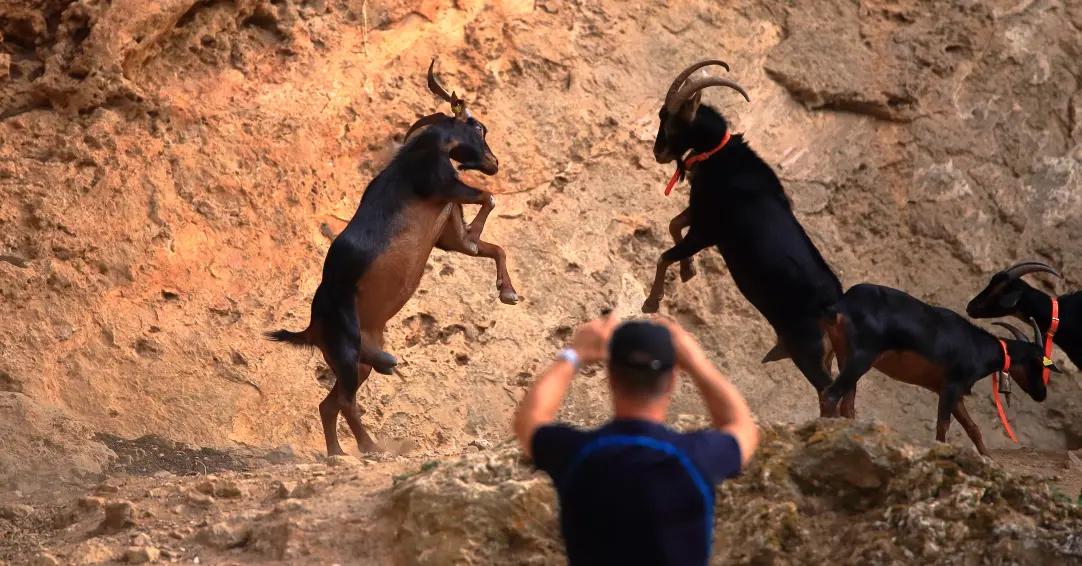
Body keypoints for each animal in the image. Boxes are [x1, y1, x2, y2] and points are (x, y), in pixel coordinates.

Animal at [265, 57, 520, 456]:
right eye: (479, 127)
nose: (494, 163)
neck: (429, 151)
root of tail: (311, 327)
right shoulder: (442, 187)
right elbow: (489, 198)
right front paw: (483, 243)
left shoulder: (448, 231)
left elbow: (487, 245)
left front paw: (507, 291)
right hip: (347, 353)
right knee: (345, 401)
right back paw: (371, 448)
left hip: (354, 358)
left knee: (330, 403)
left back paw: (339, 453)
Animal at [644, 59, 848, 416]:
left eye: (670, 120)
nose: (659, 153)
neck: (719, 156)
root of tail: (834, 308)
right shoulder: (700, 214)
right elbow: (672, 225)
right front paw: (688, 271)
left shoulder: (709, 229)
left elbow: (665, 253)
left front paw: (651, 302)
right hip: (822, 353)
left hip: (805, 348)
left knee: (827, 393)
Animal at [819, 283, 1062, 456]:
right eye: (1038, 363)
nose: (1042, 394)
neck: (976, 345)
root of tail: (842, 305)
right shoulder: (951, 387)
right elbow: (942, 427)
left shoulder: (953, 393)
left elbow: (973, 428)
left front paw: (989, 460)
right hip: (861, 359)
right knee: (830, 395)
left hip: (844, 358)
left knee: (846, 404)